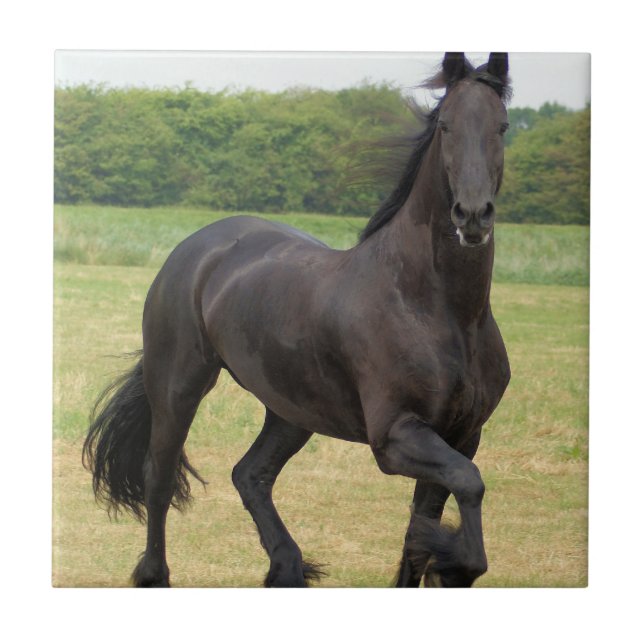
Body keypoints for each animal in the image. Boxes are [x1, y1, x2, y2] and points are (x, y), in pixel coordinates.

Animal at [83, 52, 512, 588]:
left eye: (503, 126)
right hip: (179, 386)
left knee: (250, 474)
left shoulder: (463, 435)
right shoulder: (395, 437)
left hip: (290, 409)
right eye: (447, 126)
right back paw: (154, 574)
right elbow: (469, 488)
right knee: (158, 479)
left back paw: (286, 566)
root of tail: (196, 247)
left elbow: (421, 530)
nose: (473, 215)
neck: (439, 311)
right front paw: (455, 565)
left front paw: (442, 561)